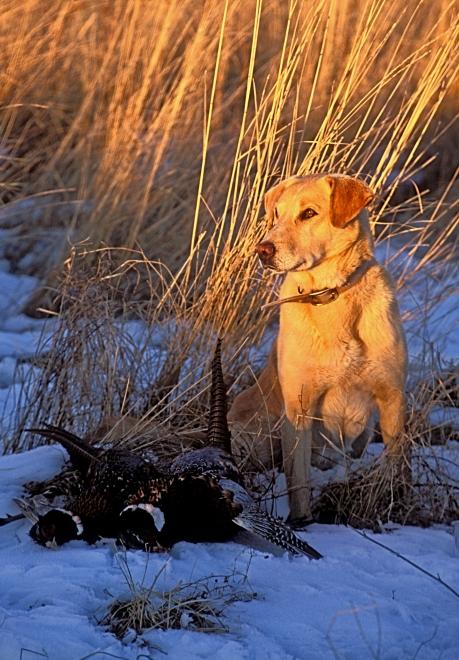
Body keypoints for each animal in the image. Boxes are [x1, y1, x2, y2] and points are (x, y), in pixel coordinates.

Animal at [232, 173, 408, 524]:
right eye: (277, 214)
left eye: (309, 213)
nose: (263, 250)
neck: (332, 295)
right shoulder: (298, 408)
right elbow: (298, 479)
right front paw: (302, 522)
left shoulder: (392, 398)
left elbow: (394, 466)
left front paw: (391, 501)